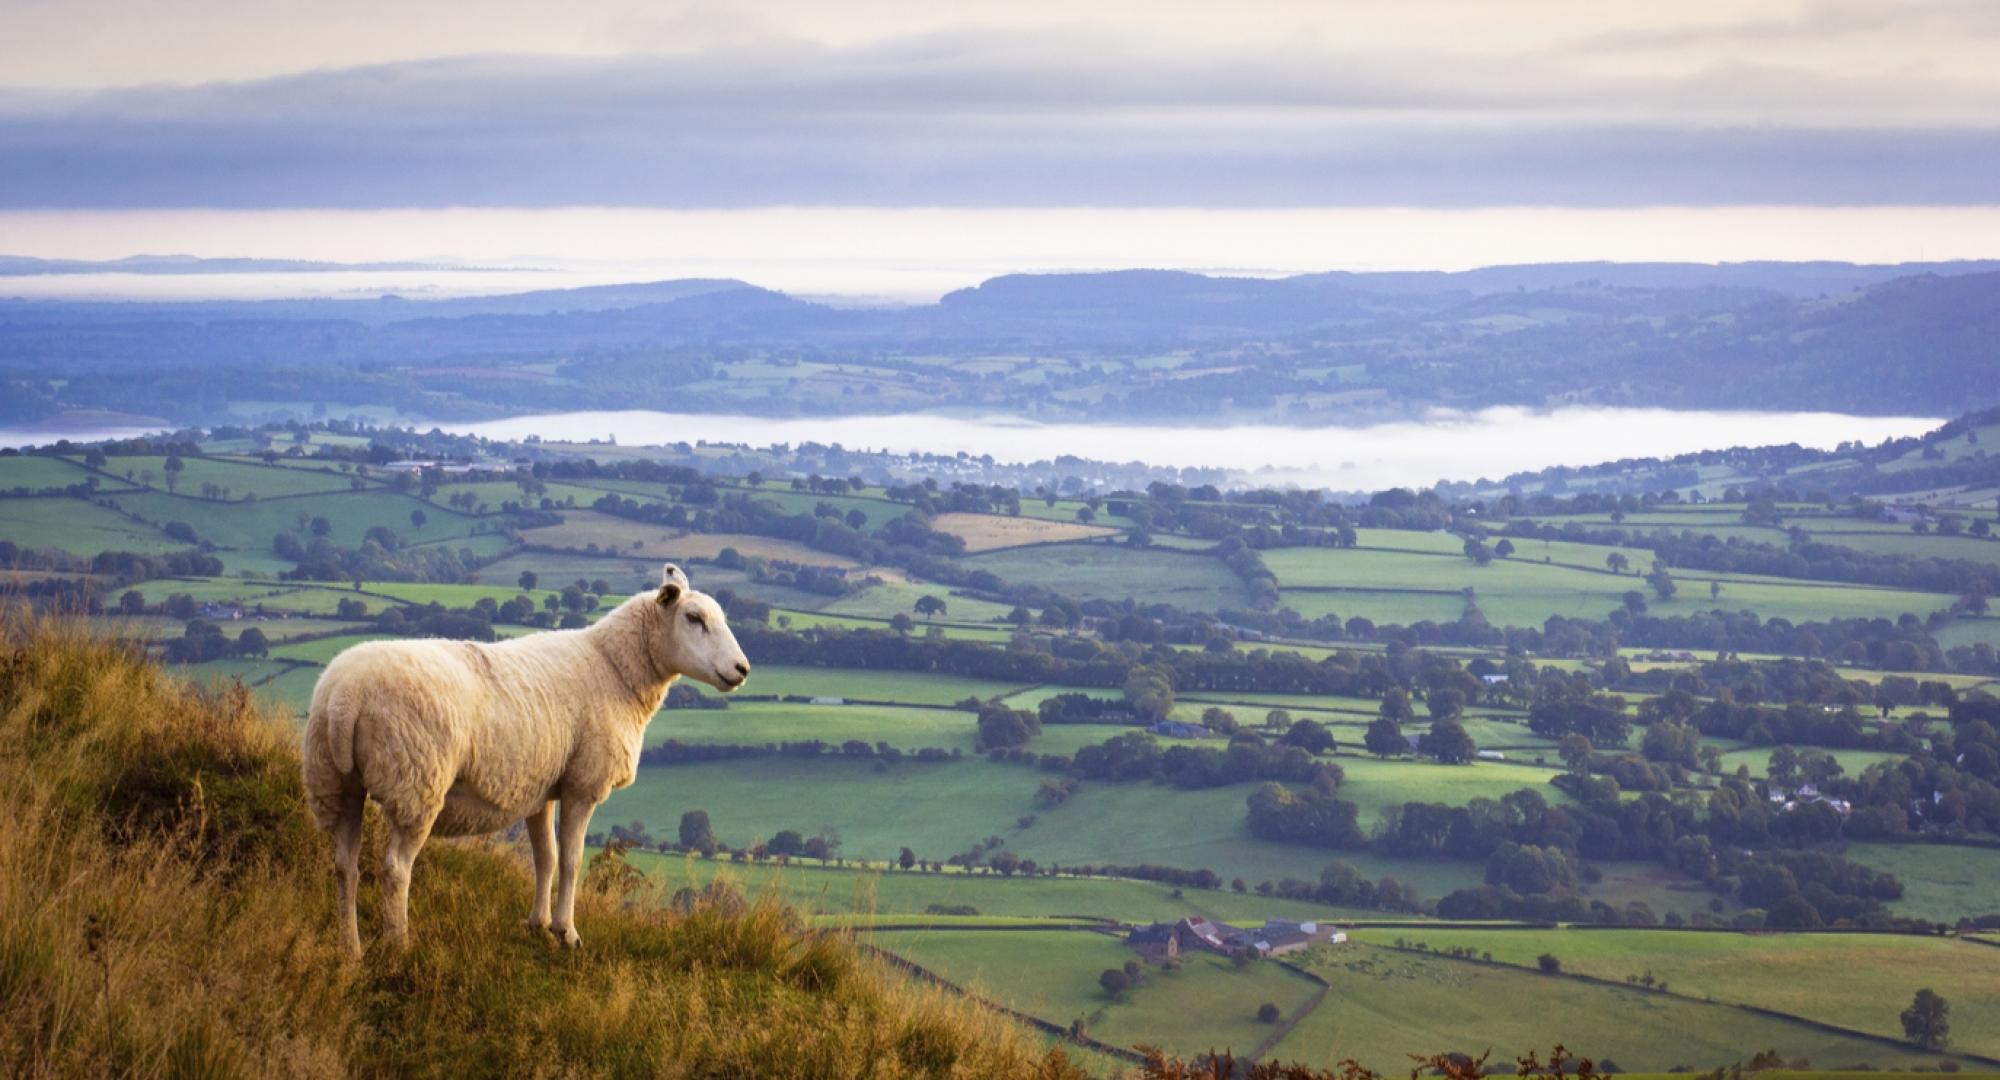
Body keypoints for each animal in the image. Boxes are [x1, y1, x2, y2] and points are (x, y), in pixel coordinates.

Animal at [304, 564, 752, 952]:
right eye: (694, 618)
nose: (742, 669)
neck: (614, 668)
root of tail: (345, 697)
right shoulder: (582, 784)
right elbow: (570, 860)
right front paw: (567, 932)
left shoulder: (541, 787)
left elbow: (545, 857)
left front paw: (538, 924)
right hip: (416, 781)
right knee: (396, 868)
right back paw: (399, 945)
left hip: (336, 783)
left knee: (344, 865)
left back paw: (350, 948)